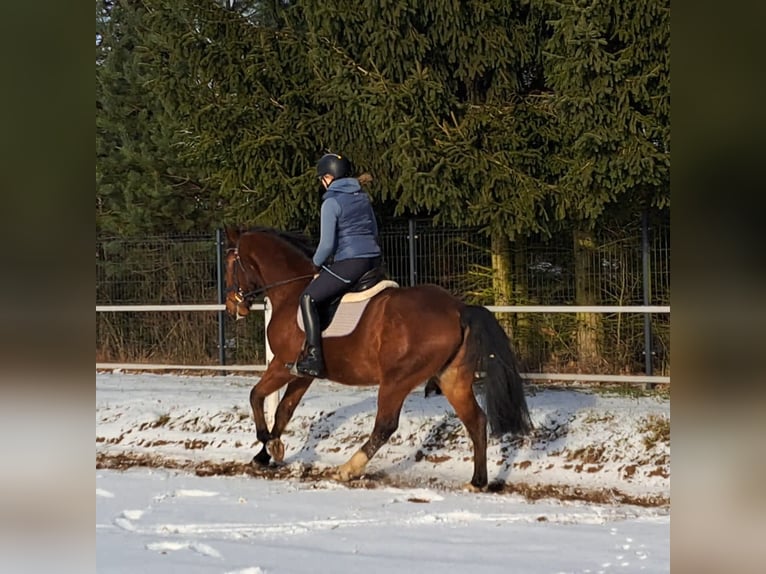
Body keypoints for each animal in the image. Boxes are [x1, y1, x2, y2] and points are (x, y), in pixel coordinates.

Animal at [223, 226, 533, 490]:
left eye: (229, 264)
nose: (232, 308)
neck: (289, 292)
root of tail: (458, 309)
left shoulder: (282, 365)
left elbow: (256, 396)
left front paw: (267, 444)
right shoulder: (302, 372)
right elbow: (284, 410)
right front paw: (267, 453)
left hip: (397, 380)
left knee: (385, 425)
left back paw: (349, 468)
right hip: (452, 379)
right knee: (476, 422)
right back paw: (477, 482)